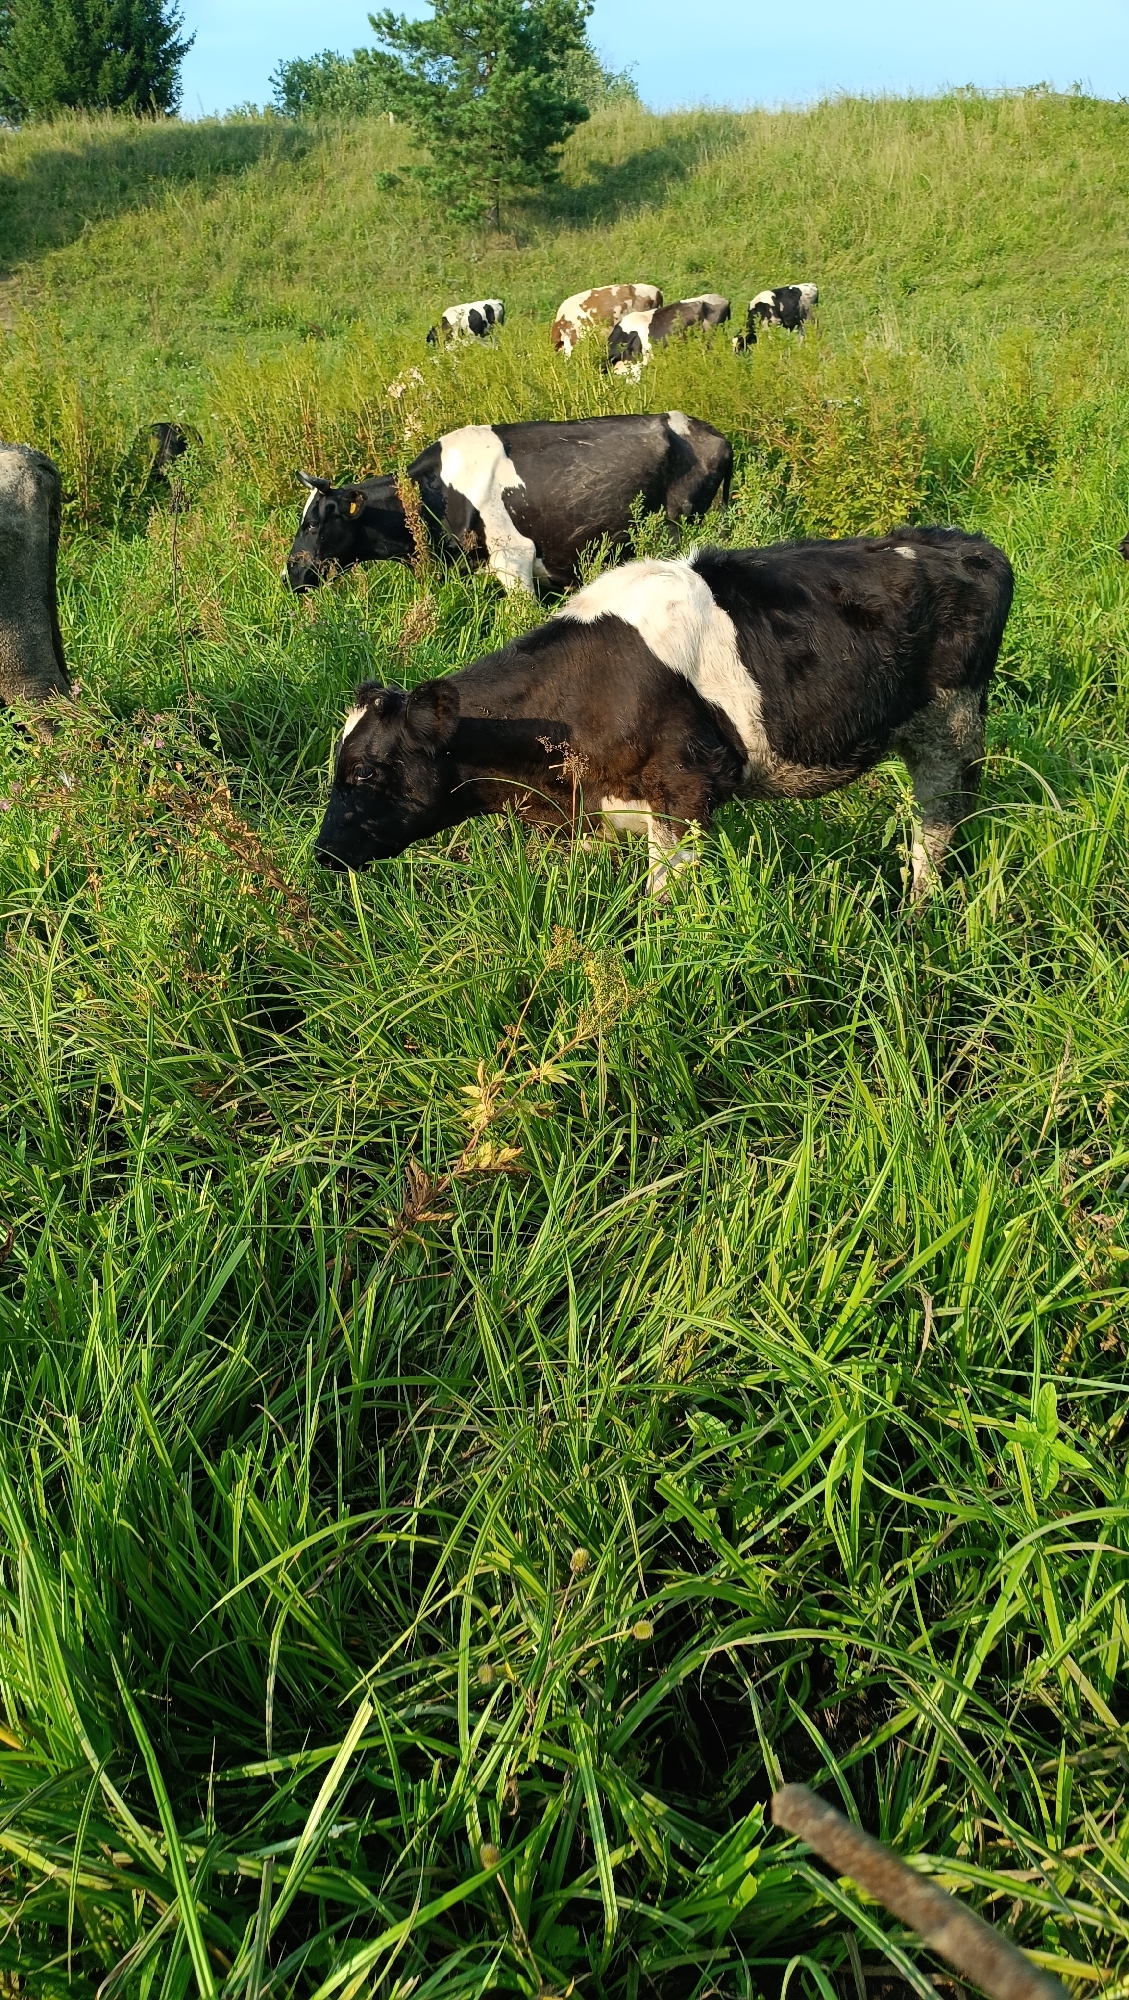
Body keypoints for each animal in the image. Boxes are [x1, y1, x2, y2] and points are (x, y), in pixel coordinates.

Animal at [314, 526, 1014, 900]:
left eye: (366, 773)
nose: (322, 853)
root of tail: (964, 543)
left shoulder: (685, 788)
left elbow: (662, 901)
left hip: (950, 731)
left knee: (936, 830)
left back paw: (918, 912)